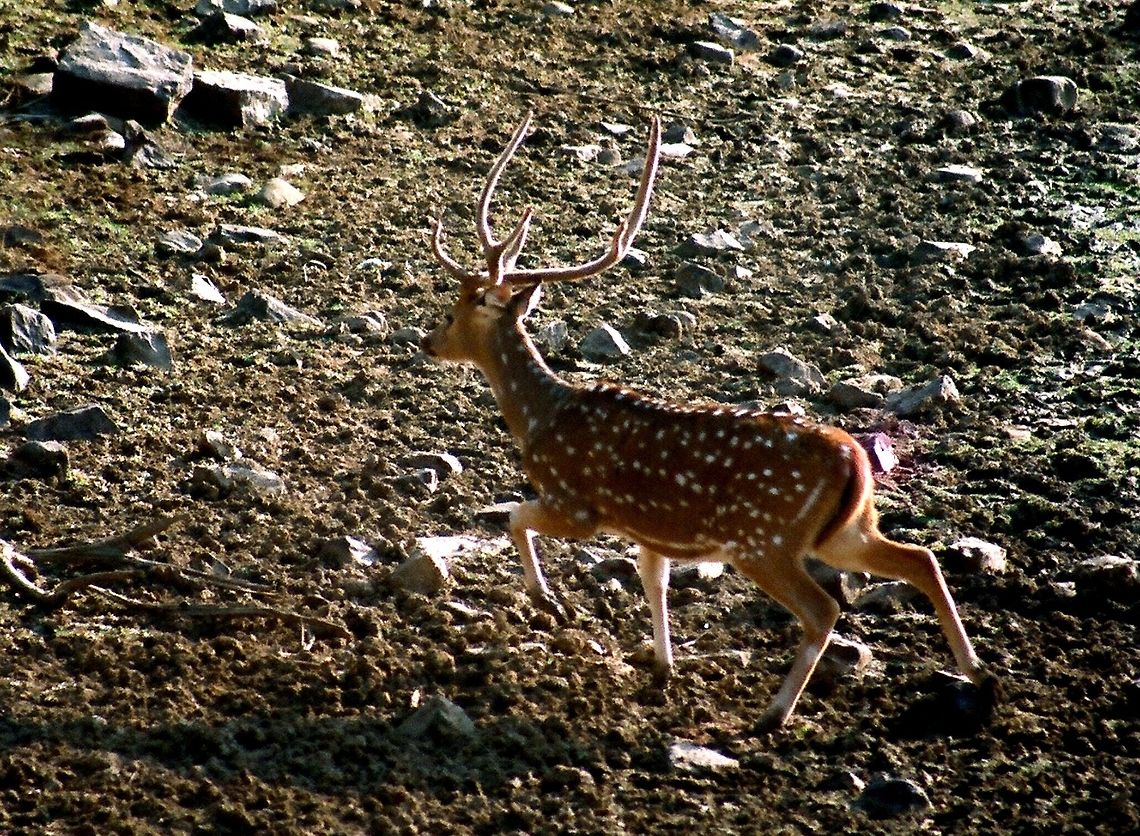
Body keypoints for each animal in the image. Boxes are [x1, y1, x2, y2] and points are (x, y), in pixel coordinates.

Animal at [421, 112, 995, 730]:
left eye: (453, 309)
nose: (429, 342)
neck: (538, 417)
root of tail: (854, 461)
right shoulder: (649, 530)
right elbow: (653, 578)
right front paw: (663, 665)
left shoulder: (577, 503)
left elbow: (515, 518)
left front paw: (546, 601)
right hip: (846, 529)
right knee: (921, 559)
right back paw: (979, 672)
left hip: (764, 539)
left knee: (823, 608)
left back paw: (774, 714)